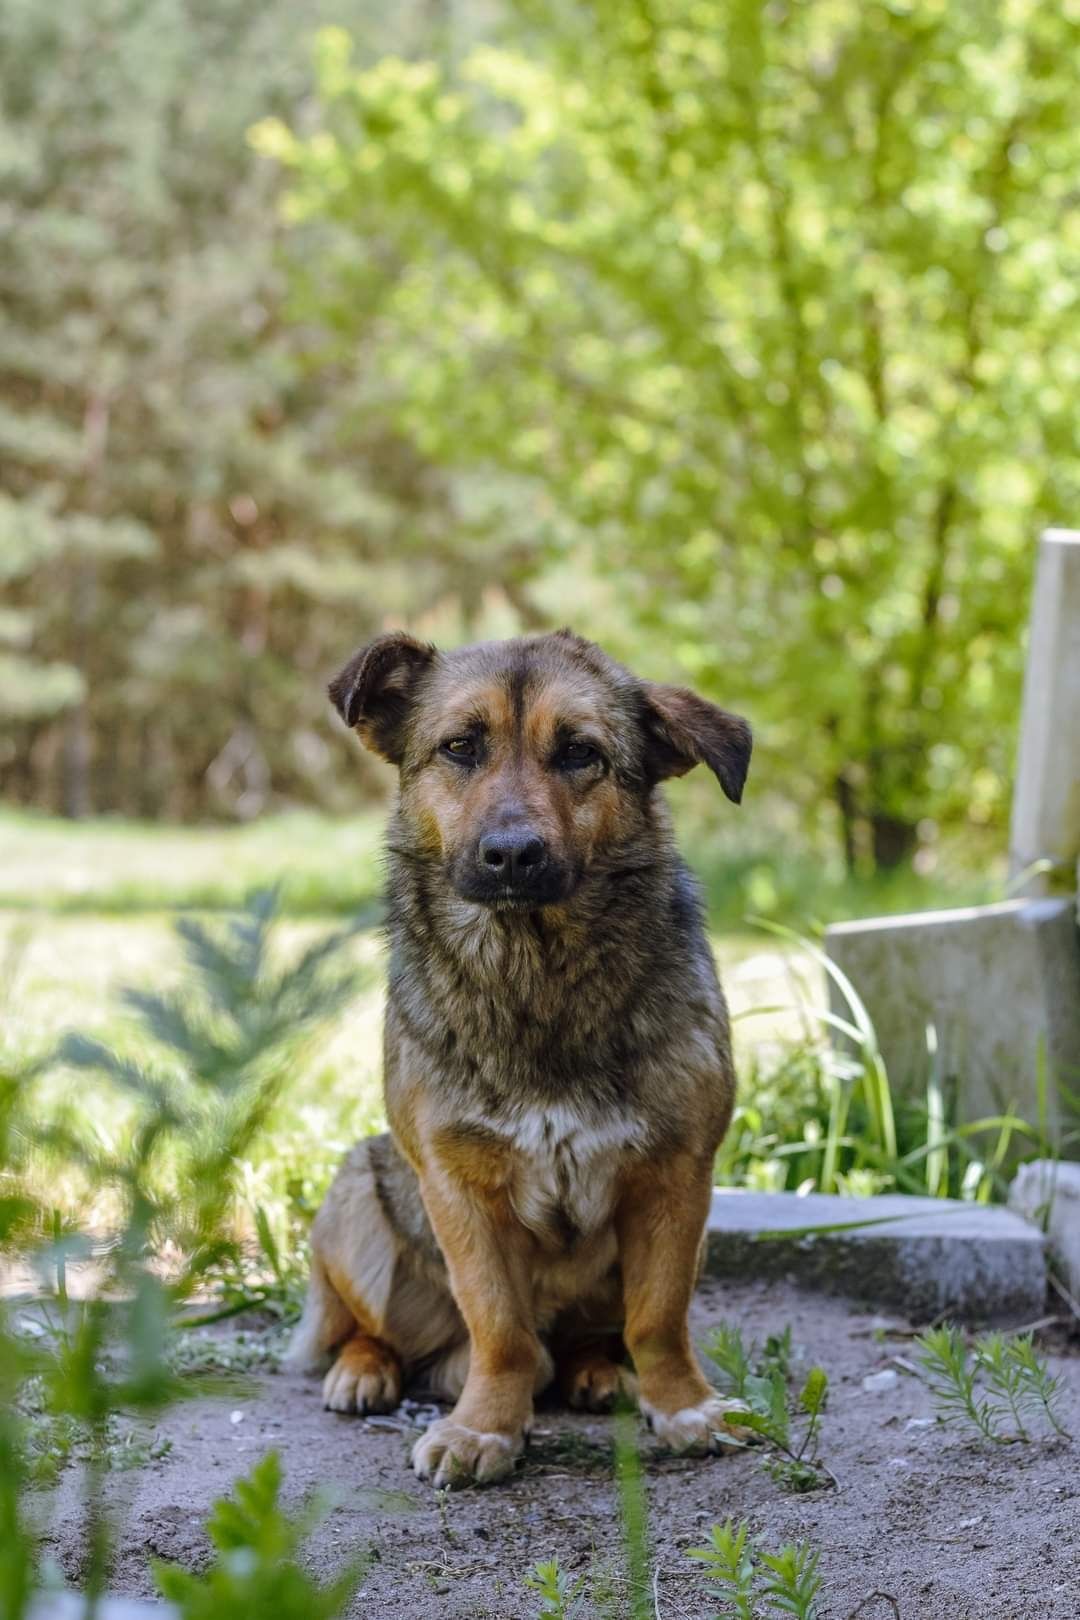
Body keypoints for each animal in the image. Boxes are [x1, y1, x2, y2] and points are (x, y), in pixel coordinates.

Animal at [291, 625, 757, 1483]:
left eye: (579, 753)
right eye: (460, 747)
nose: (512, 854)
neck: (534, 974)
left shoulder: (678, 1179)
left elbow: (658, 1317)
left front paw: (683, 1406)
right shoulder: (458, 1190)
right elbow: (500, 1329)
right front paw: (485, 1429)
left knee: (593, 1336)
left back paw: (594, 1370)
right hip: (356, 1198)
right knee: (375, 1329)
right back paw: (364, 1370)